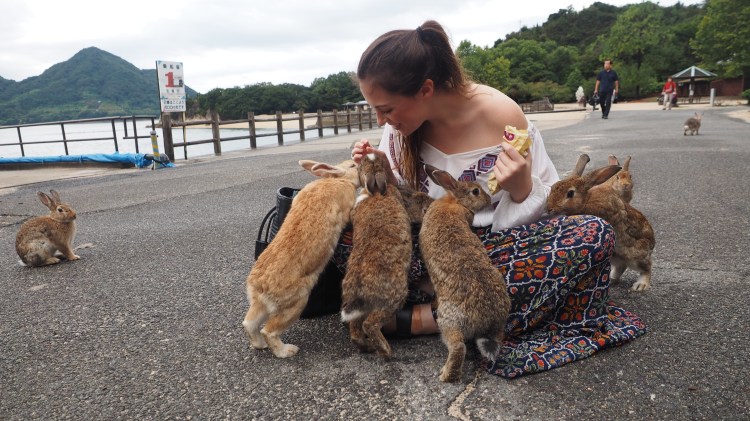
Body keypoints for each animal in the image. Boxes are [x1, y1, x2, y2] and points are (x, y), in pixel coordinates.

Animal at [242, 159, 360, 358]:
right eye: (352, 165)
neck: (339, 179)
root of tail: (261, 287)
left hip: (260, 306)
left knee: (249, 324)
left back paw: (260, 345)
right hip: (296, 303)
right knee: (269, 331)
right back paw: (287, 351)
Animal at [340, 153, 412, 358]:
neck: (376, 193)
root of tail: (357, 286)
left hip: (361, 308)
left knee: (355, 330)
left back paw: (368, 347)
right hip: (394, 299)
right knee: (369, 324)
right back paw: (386, 351)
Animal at [418, 164, 511, 383]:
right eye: (475, 191)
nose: (488, 200)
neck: (455, 201)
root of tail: (488, 317)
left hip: (449, 321)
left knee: (458, 346)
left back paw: (445, 375)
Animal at [546, 154, 656, 291]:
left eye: (570, 193)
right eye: (552, 187)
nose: (549, 208)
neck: (585, 201)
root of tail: (652, 245)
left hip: (635, 254)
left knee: (646, 267)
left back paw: (640, 285)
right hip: (615, 256)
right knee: (621, 266)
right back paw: (612, 280)